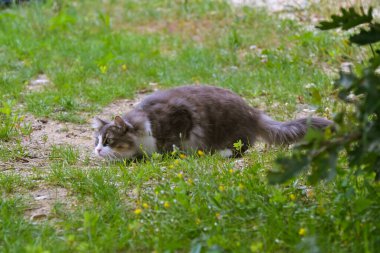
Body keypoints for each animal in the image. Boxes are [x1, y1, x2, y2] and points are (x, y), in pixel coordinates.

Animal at [93, 86, 332, 159]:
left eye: (108, 140)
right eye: (96, 141)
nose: (96, 150)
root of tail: (253, 112)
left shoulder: (180, 118)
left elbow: (170, 144)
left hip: (232, 133)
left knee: (241, 147)